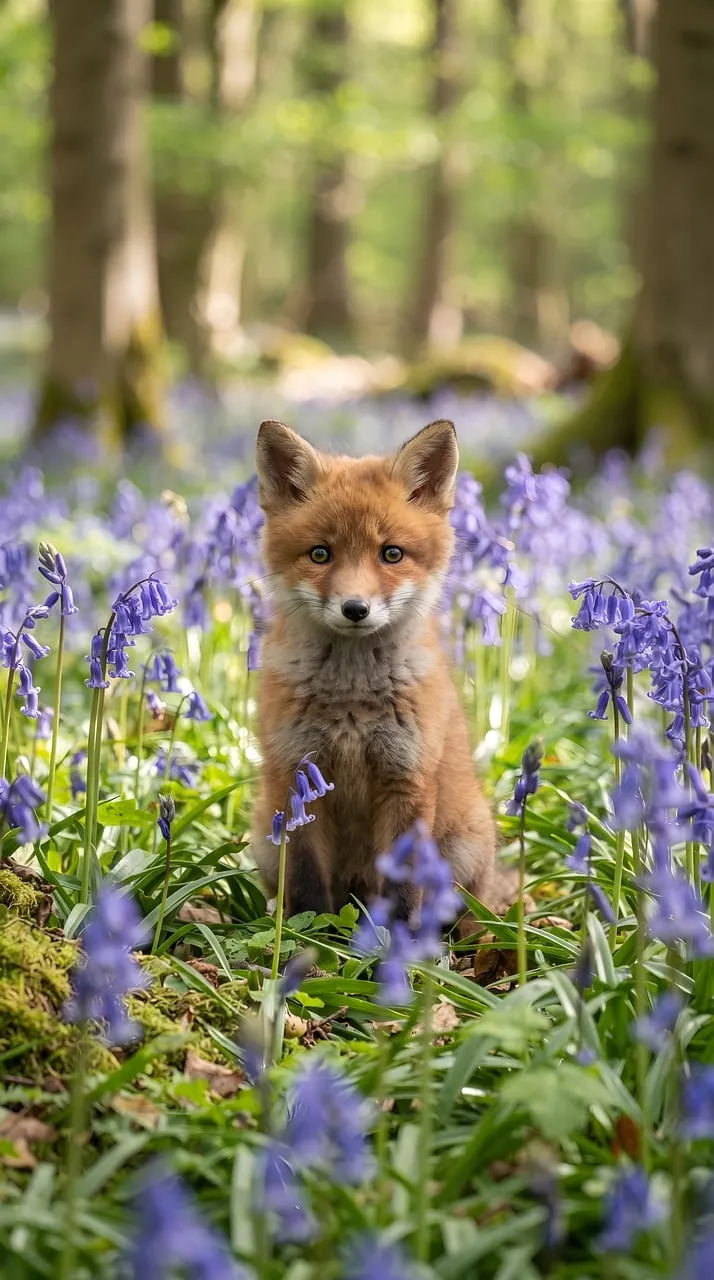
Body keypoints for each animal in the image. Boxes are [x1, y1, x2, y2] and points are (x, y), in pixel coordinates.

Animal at [251, 416, 506, 929]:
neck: (351, 701)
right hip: (264, 840)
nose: (355, 609)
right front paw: (307, 940)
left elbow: (404, 890)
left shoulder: (405, 779)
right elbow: (307, 885)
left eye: (391, 554)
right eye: (320, 554)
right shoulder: (295, 777)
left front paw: (397, 942)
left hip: (465, 849)